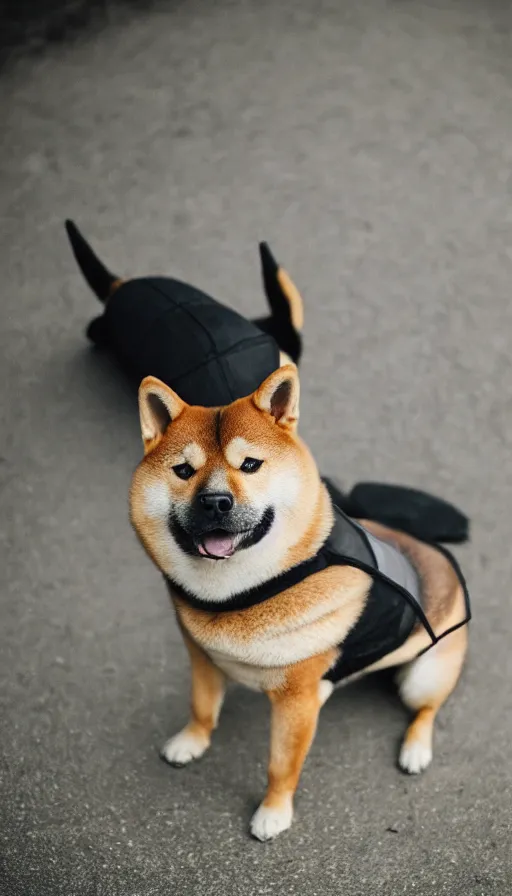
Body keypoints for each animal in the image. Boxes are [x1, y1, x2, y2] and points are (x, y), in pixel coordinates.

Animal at [130, 362, 470, 840]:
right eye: (182, 471)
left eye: (250, 465)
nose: (215, 502)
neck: (244, 592)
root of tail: (433, 550)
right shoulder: (202, 659)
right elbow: (201, 709)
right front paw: (191, 741)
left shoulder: (297, 702)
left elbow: (281, 766)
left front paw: (273, 813)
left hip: (423, 676)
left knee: (427, 709)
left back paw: (416, 749)